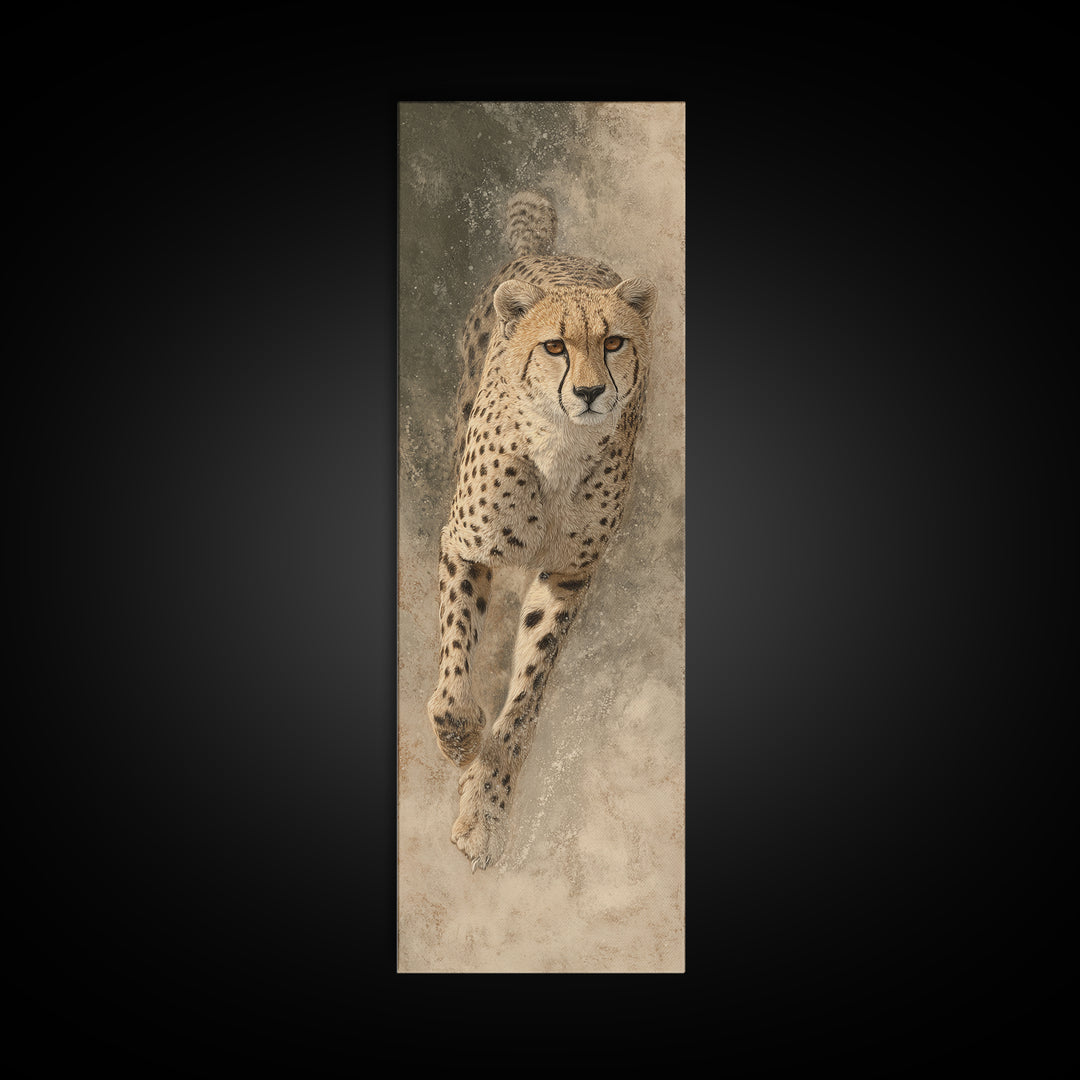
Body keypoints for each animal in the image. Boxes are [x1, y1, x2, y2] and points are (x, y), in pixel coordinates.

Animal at [426, 190, 657, 870]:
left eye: (614, 342)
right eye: (555, 347)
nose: (589, 392)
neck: (560, 445)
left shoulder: (568, 574)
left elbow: (527, 695)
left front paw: (485, 811)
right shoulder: (466, 545)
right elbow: (457, 652)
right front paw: (458, 734)